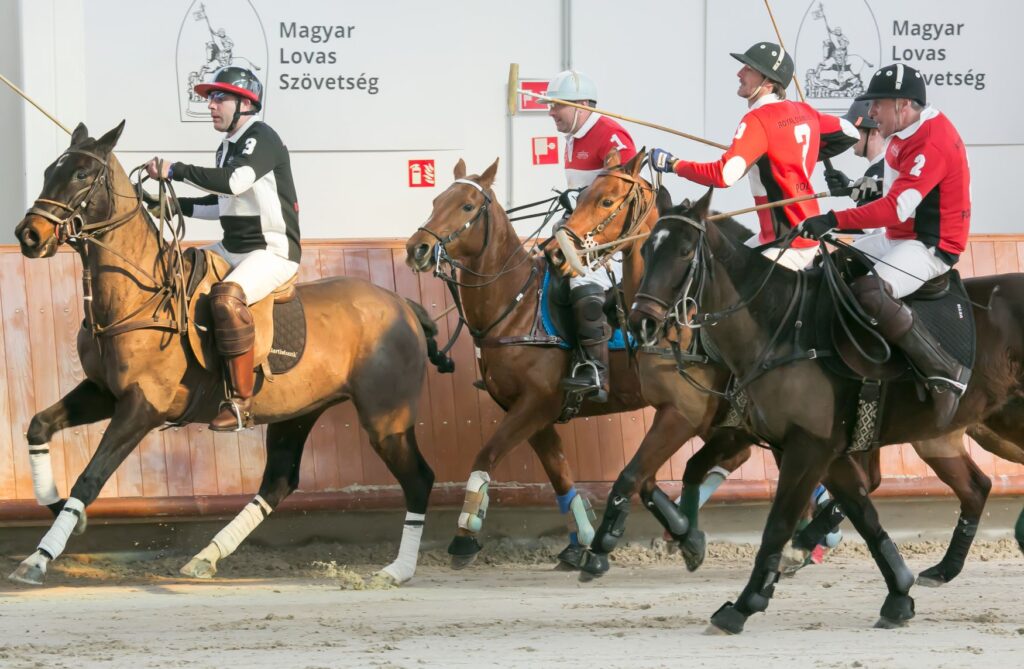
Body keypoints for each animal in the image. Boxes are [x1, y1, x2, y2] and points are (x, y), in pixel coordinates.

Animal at [8, 122, 448, 586]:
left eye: (80, 174)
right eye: (47, 171)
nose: (29, 235)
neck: (140, 297)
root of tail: (405, 306)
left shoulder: (142, 407)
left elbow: (90, 479)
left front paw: (39, 557)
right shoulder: (103, 392)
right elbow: (38, 426)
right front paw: (58, 510)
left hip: (386, 418)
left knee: (418, 480)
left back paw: (398, 569)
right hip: (299, 412)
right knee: (278, 482)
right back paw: (206, 556)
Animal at [552, 149, 1024, 586]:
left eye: (607, 200)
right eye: (649, 249)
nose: (561, 250)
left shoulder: (693, 416)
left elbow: (635, 475)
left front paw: (602, 550)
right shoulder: (736, 426)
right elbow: (658, 478)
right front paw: (687, 538)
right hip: (946, 433)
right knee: (975, 487)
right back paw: (941, 567)